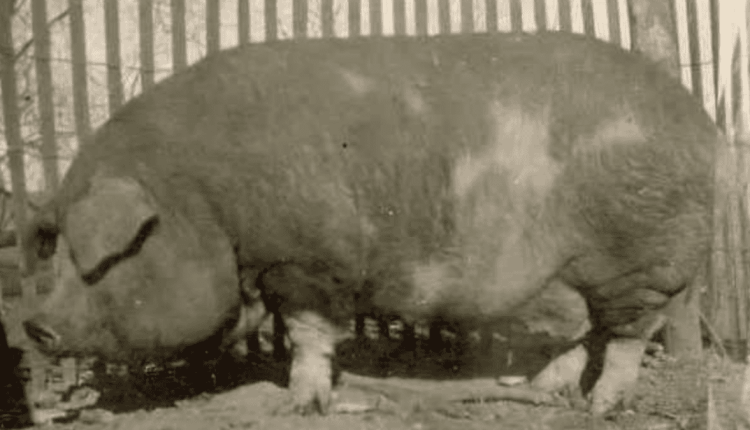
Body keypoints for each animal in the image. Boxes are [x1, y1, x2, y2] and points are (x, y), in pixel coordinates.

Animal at [23, 32, 717, 416]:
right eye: (55, 251)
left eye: (102, 256)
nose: (34, 325)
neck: (205, 199)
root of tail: (698, 120)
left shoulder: (307, 261)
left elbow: (308, 332)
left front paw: (302, 404)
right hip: (573, 272)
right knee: (585, 333)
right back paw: (543, 390)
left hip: (640, 262)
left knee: (625, 336)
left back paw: (603, 406)